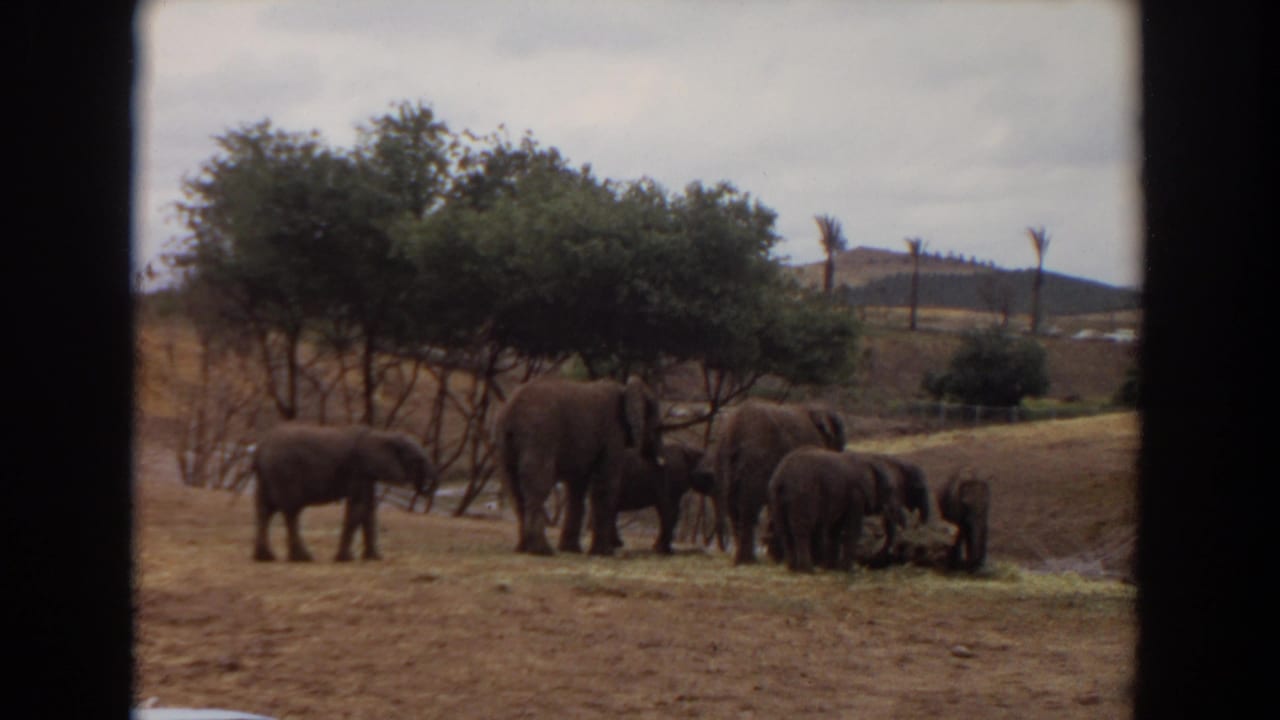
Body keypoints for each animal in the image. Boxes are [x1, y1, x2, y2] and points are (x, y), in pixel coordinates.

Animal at [251, 422, 436, 562]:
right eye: (416, 460)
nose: (425, 487)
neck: (382, 435)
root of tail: (260, 447)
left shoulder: (367, 474)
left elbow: (369, 511)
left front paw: (374, 558)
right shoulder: (359, 469)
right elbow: (359, 508)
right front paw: (345, 559)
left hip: (267, 476)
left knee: (265, 511)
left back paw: (265, 558)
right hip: (284, 472)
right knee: (291, 511)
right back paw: (303, 558)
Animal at [493, 376, 663, 556]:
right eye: (658, 428)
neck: (625, 389)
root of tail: (511, 409)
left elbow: (577, 487)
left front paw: (571, 550)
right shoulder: (613, 433)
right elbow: (605, 485)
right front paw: (604, 553)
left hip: (504, 441)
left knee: (514, 489)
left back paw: (523, 549)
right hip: (538, 434)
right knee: (538, 486)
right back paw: (543, 551)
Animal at [709, 399, 846, 564]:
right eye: (840, 445)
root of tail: (734, 432)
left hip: (721, 462)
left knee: (732, 506)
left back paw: (743, 559)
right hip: (755, 462)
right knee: (748, 507)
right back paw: (748, 560)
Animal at [766, 447, 894, 573]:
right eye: (888, 490)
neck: (867, 463)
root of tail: (782, 478)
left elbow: (835, 530)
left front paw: (832, 568)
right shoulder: (856, 495)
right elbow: (852, 530)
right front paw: (848, 570)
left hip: (775, 497)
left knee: (784, 530)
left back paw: (792, 568)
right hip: (803, 494)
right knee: (802, 531)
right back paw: (808, 570)